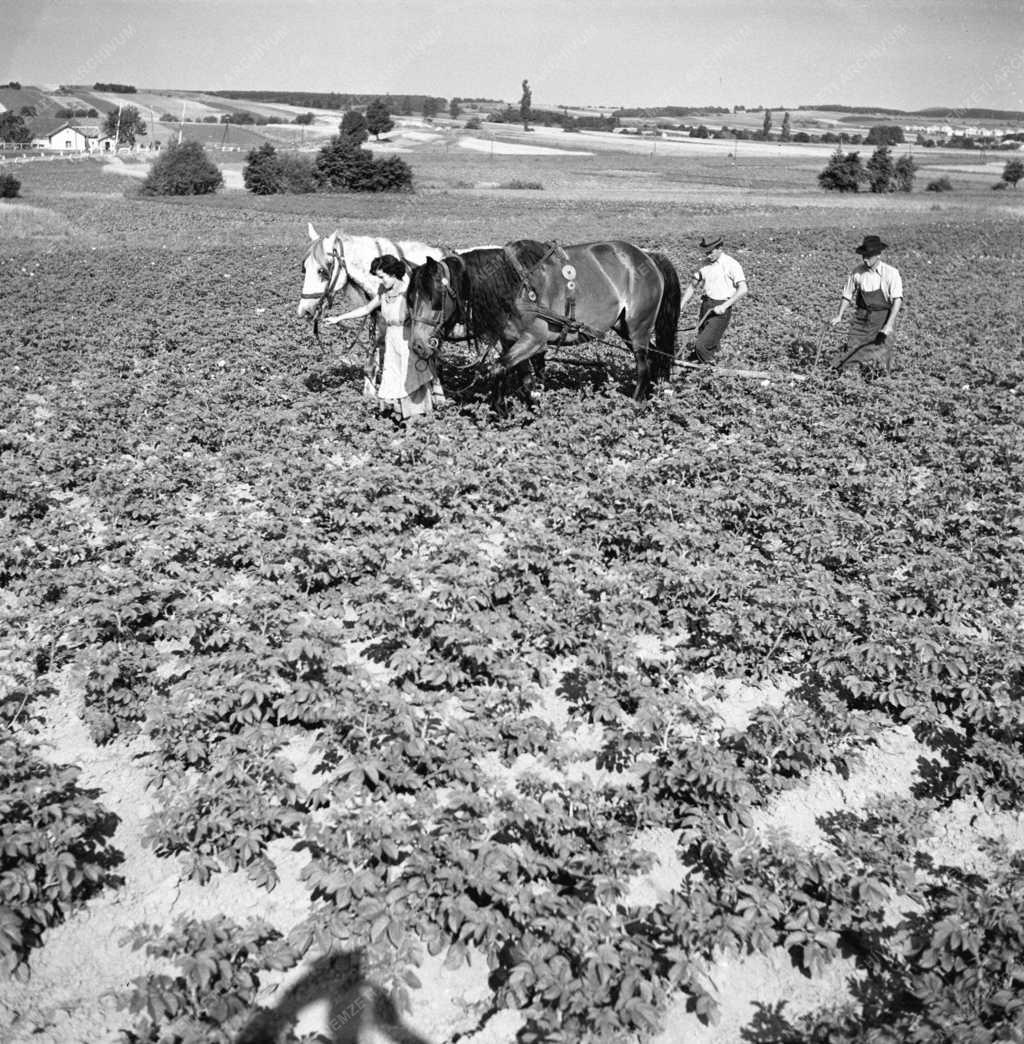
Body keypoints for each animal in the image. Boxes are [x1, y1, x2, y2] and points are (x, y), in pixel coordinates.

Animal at [405, 240, 680, 407]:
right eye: (410, 298)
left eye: (435, 298)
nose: (417, 345)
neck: (514, 287)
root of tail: (647, 256)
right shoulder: (510, 341)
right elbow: (523, 378)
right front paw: (532, 407)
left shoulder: (535, 340)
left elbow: (497, 368)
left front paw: (500, 411)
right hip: (623, 326)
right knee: (656, 358)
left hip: (638, 326)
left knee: (643, 365)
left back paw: (635, 403)